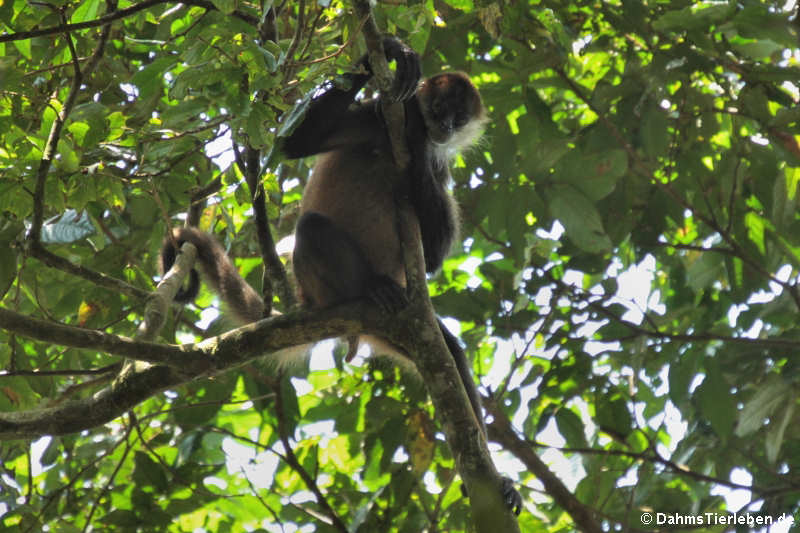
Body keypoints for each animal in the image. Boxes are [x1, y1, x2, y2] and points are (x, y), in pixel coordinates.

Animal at [162, 37, 520, 516]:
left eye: (458, 118)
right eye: (440, 108)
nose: (443, 127)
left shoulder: (436, 163)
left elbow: (434, 256)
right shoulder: (372, 117)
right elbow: (291, 142)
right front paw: (387, 54)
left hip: (411, 323)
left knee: (449, 355)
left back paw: (494, 482)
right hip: (324, 286)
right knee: (312, 226)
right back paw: (372, 289)